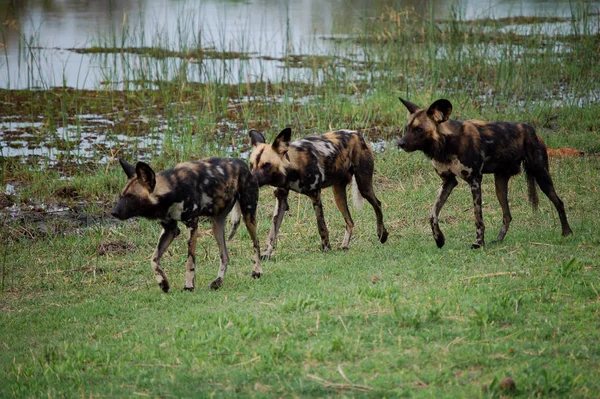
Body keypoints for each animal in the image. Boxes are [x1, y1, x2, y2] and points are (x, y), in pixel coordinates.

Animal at [111, 158, 262, 292]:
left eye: (131, 197)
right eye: (121, 196)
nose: (113, 212)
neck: (172, 190)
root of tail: (243, 164)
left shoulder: (192, 225)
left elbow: (190, 261)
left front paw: (189, 286)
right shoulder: (170, 229)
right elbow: (153, 259)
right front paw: (163, 283)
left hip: (248, 215)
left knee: (256, 243)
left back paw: (257, 271)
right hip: (216, 225)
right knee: (225, 256)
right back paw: (218, 282)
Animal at [248, 128, 390, 260]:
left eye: (266, 165)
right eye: (251, 164)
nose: (252, 180)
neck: (291, 169)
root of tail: (357, 134)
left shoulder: (315, 196)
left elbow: (321, 227)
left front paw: (326, 248)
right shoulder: (281, 201)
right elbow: (272, 232)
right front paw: (266, 253)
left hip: (364, 187)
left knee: (378, 204)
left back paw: (382, 234)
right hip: (338, 194)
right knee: (350, 221)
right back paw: (344, 245)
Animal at [398, 98, 572, 248]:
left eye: (419, 129)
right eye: (407, 129)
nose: (400, 143)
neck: (447, 145)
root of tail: (533, 131)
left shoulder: (475, 180)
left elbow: (478, 217)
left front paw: (479, 243)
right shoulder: (448, 182)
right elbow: (433, 215)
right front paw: (439, 239)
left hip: (541, 176)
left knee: (559, 202)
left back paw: (567, 232)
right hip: (500, 184)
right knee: (507, 215)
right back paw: (498, 240)